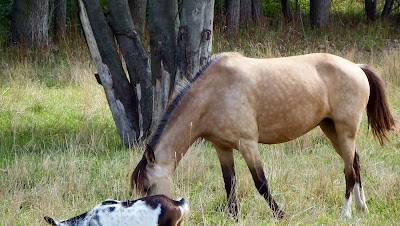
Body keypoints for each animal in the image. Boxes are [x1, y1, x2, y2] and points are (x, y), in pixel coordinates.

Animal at [130, 52, 394, 219]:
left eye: (148, 187)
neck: (213, 94)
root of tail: (357, 67)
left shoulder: (248, 145)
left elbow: (261, 183)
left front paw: (280, 215)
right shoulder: (222, 147)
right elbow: (229, 184)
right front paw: (233, 217)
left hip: (345, 131)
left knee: (349, 172)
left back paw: (346, 212)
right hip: (332, 130)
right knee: (355, 164)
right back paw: (362, 208)